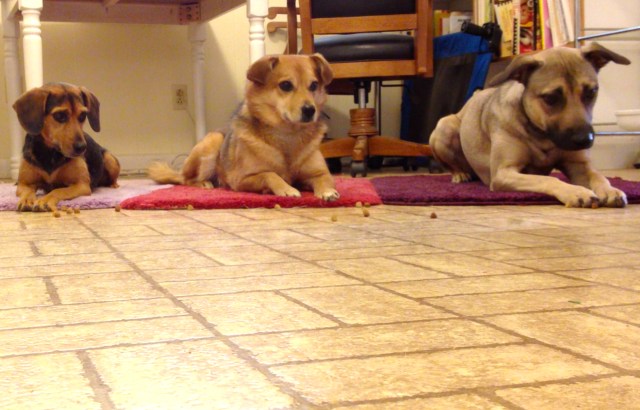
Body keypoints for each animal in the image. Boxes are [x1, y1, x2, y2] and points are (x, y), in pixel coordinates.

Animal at [12, 82, 120, 213]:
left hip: (110, 159)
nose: (82, 147)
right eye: (59, 115)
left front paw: (45, 200)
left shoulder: (81, 185)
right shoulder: (24, 184)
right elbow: (27, 192)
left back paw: (113, 185)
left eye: (83, 115)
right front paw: (27, 200)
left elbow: (58, 190)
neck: (50, 152)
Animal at [149, 53, 340, 201]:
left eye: (314, 85)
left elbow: (325, 179)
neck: (288, 134)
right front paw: (286, 189)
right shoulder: (240, 179)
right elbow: (270, 174)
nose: (310, 110)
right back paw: (204, 182)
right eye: (286, 85)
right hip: (212, 142)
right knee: (187, 180)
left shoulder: (317, 173)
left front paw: (328, 191)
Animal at [430, 44, 632, 208]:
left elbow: (598, 175)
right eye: (551, 98)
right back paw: (459, 174)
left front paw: (610, 189)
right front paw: (576, 191)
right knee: (451, 163)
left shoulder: (578, 165)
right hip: (444, 126)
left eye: (591, 92)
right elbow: (548, 179)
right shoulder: (503, 174)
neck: (541, 135)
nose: (585, 140)